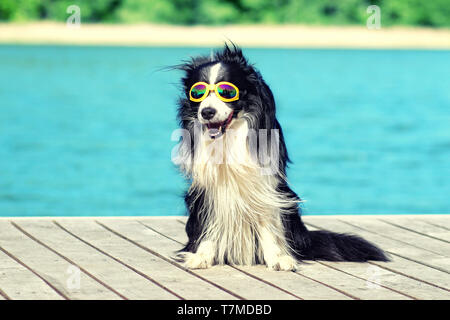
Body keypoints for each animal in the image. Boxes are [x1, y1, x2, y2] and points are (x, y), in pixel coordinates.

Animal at [174, 44, 388, 270]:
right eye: (197, 93)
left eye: (227, 92)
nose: (206, 112)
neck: (229, 136)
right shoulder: (205, 188)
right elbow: (209, 221)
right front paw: (201, 255)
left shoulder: (266, 184)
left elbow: (266, 221)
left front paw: (277, 258)